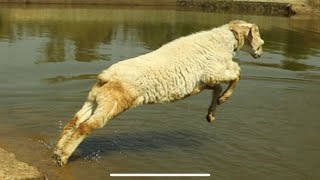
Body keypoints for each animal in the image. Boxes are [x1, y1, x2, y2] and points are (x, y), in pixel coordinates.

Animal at [53, 19, 264, 166]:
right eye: (260, 41)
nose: (260, 53)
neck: (225, 41)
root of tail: (106, 76)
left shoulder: (203, 82)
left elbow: (219, 86)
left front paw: (212, 113)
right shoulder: (215, 71)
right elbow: (237, 73)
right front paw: (223, 99)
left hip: (94, 101)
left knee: (74, 122)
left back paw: (57, 151)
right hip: (112, 105)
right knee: (85, 127)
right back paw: (63, 157)